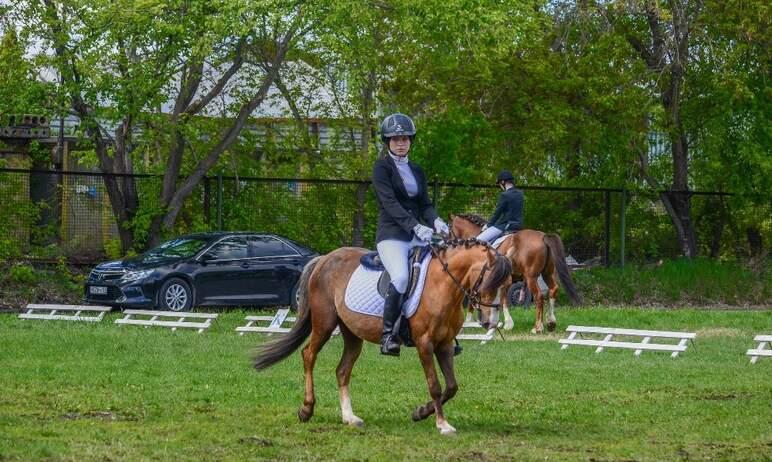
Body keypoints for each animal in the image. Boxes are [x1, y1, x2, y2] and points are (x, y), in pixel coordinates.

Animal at [253, 240, 512, 434]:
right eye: (489, 281)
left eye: (508, 285)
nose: (490, 322)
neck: (443, 285)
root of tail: (324, 259)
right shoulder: (425, 344)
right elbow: (435, 385)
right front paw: (442, 424)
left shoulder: (445, 344)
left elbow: (452, 386)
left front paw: (420, 412)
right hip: (324, 324)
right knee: (308, 355)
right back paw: (307, 409)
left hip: (352, 334)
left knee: (342, 370)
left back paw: (350, 417)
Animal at [450, 215, 584, 334]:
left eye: (450, 230)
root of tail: (542, 236)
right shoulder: (505, 280)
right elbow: (502, 298)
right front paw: (506, 323)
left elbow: (478, 298)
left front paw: (468, 322)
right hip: (547, 273)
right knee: (553, 290)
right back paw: (551, 322)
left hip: (531, 277)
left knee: (539, 296)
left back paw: (537, 328)